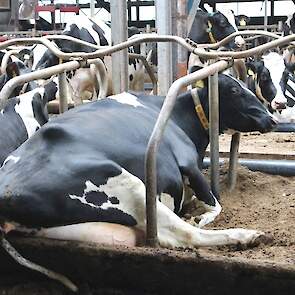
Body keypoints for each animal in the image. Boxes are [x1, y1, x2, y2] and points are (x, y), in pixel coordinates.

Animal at [0, 74, 278, 250]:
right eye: (235, 90)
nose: (272, 119)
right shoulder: (187, 161)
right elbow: (215, 205)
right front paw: (203, 216)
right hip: (126, 182)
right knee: (182, 235)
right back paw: (247, 235)